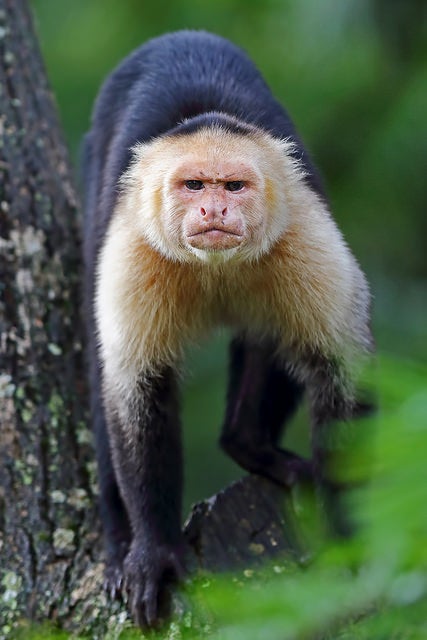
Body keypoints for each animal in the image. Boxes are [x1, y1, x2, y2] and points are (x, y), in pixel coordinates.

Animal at [82, 31, 372, 632]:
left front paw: (349, 539)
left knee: (275, 337)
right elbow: (137, 391)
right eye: (194, 185)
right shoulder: (134, 248)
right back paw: (120, 541)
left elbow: (340, 377)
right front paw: (153, 553)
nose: (213, 209)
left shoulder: (303, 231)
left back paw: (248, 444)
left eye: (233, 186)